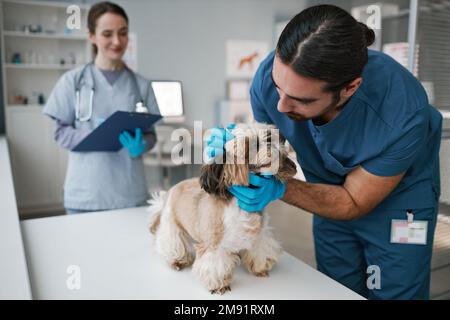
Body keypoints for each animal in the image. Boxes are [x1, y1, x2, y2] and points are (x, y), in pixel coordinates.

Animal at [148, 123, 298, 296]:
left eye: (269, 136)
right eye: (253, 144)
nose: (274, 144)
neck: (241, 204)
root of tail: (170, 191)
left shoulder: (260, 236)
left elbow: (261, 250)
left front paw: (260, 268)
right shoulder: (214, 246)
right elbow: (215, 265)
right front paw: (219, 285)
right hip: (171, 225)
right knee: (172, 242)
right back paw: (177, 260)